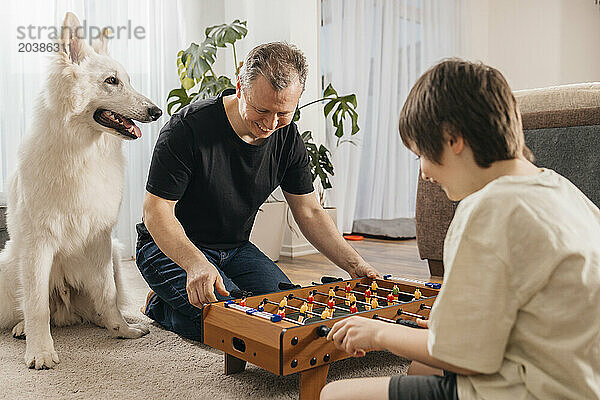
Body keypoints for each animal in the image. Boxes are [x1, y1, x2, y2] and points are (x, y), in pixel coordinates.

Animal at [0, 11, 161, 368]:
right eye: (111, 81)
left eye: (127, 80)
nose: (156, 111)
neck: (81, 151)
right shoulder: (37, 244)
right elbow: (35, 304)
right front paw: (40, 352)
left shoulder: (100, 239)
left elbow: (108, 294)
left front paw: (121, 329)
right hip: (10, 261)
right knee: (30, 307)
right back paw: (22, 328)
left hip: (114, 254)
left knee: (95, 304)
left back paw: (101, 320)